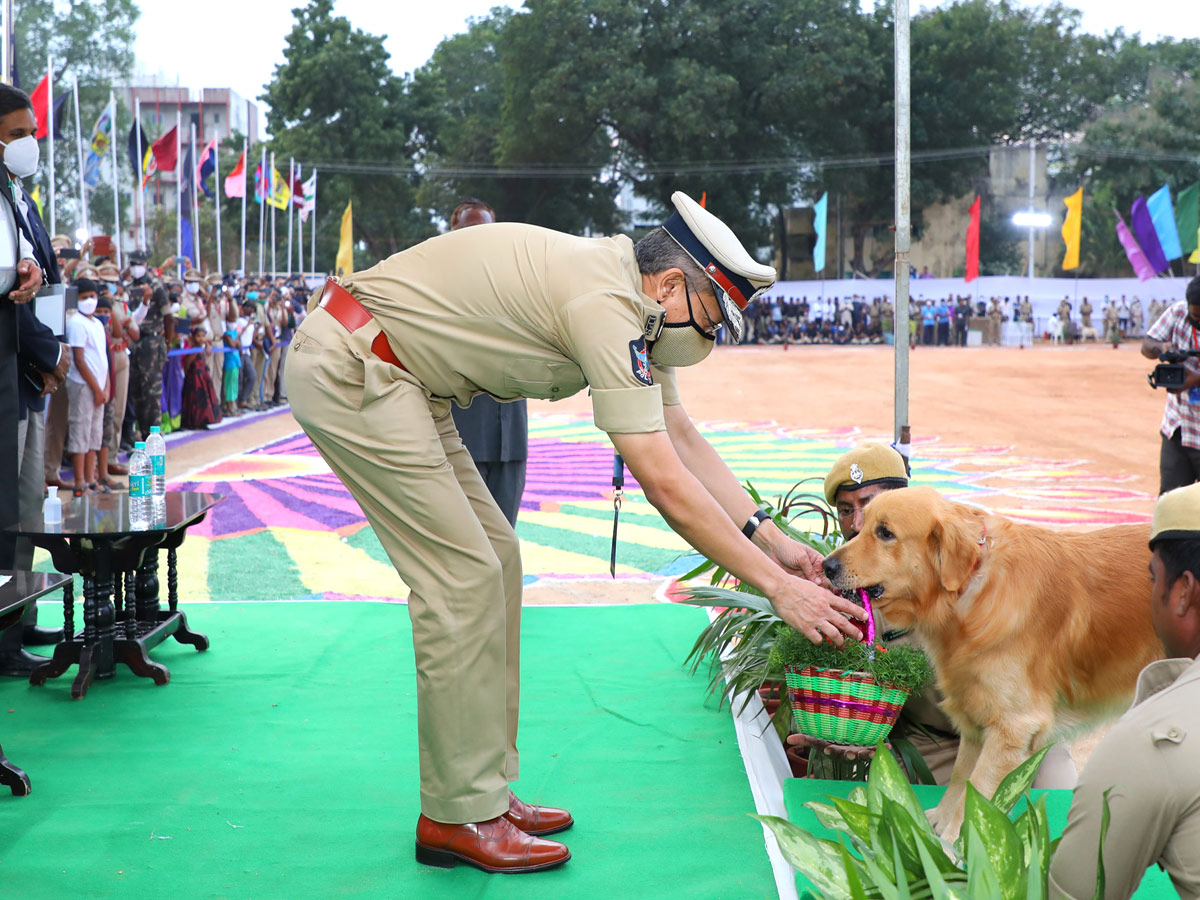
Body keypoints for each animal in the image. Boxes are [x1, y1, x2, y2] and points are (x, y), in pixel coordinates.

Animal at [825, 487, 1161, 840]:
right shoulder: (974, 715)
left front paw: (953, 845)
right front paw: (937, 825)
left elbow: (975, 794)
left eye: (885, 533)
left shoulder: (1012, 727)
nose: (825, 565)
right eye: (861, 526)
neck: (968, 589)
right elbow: (960, 779)